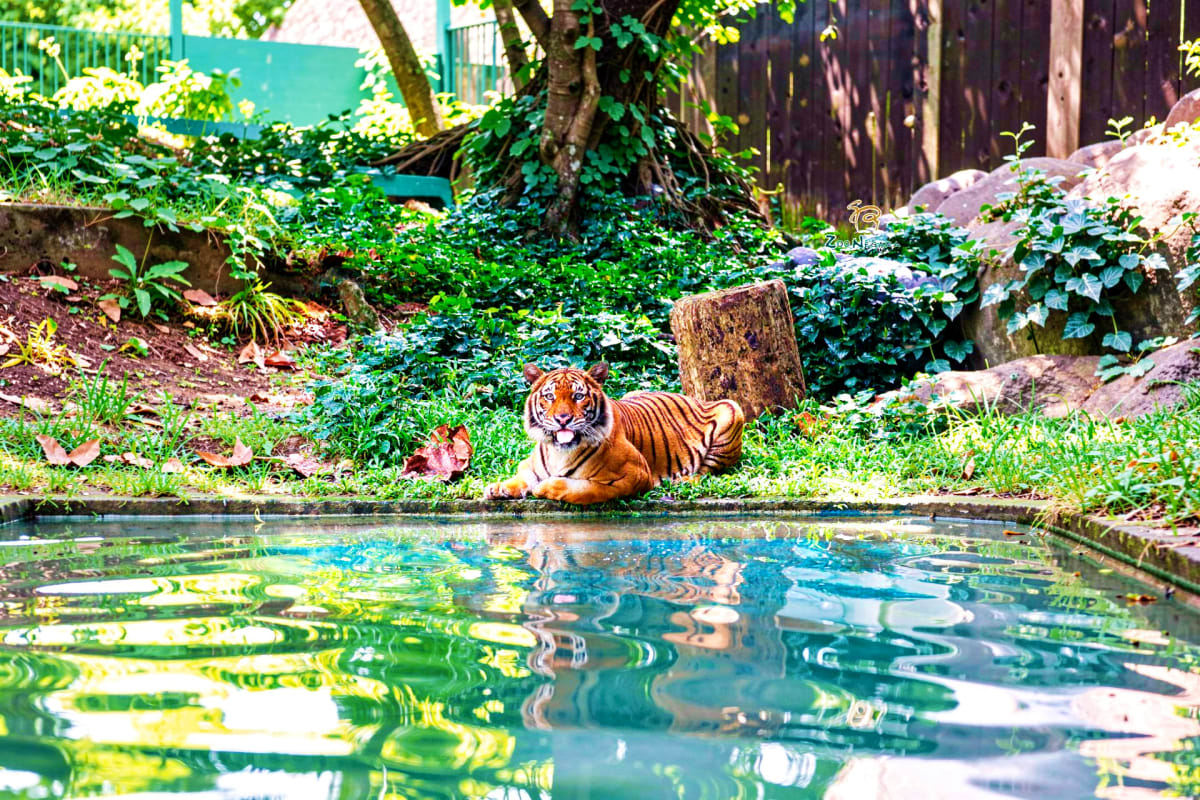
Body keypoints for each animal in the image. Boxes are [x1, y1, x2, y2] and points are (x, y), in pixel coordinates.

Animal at [483, 363, 745, 506]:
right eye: (549, 396)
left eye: (578, 396)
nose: (562, 419)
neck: (559, 451)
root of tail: (695, 398)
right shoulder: (530, 466)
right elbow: (522, 477)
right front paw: (498, 488)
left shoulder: (634, 476)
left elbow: (581, 490)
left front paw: (543, 488)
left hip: (732, 409)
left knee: (706, 471)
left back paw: (683, 480)